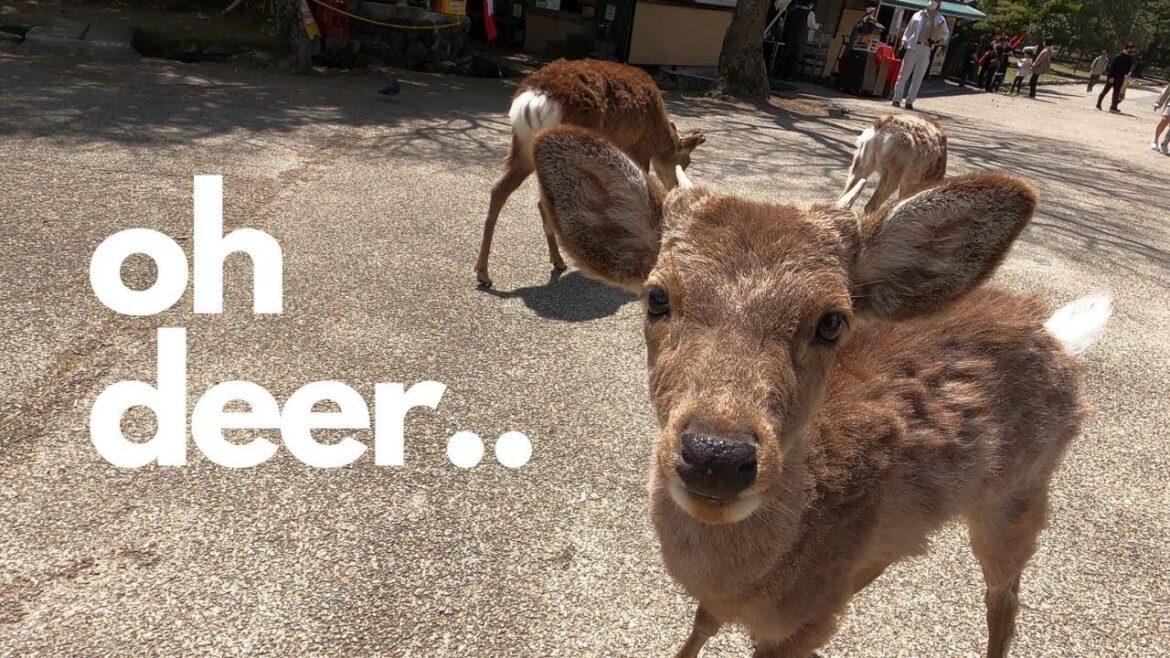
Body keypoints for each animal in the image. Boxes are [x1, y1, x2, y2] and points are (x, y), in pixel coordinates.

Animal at [474, 58, 706, 288]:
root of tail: (535, 99)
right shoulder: (638, 147)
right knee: (539, 200)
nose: (675, 186)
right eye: (686, 161)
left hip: (522, 146)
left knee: (500, 191)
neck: (657, 133)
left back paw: (487, 271)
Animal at [528, 125, 1112, 658]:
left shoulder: (800, 627)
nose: (716, 455)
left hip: (1019, 493)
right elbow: (701, 623)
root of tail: (1056, 332)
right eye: (656, 296)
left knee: (1005, 599)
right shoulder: (746, 604)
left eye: (832, 321)